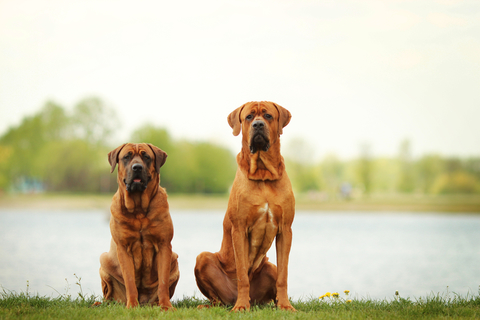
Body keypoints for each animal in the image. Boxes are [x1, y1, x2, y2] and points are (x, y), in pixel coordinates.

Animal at [99, 144, 180, 308]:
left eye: (146, 157)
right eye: (126, 157)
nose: (137, 167)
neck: (139, 210)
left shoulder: (164, 245)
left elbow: (163, 282)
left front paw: (166, 306)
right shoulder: (123, 248)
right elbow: (130, 281)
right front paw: (132, 306)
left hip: (174, 261)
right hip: (103, 261)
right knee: (108, 295)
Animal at [193, 101, 294, 312]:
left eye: (268, 116)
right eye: (249, 117)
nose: (258, 125)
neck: (263, 174)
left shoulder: (285, 230)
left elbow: (283, 275)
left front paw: (285, 305)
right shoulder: (239, 229)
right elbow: (241, 274)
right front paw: (241, 306)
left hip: (269, 267)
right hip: (203, 258)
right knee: (217, 298)